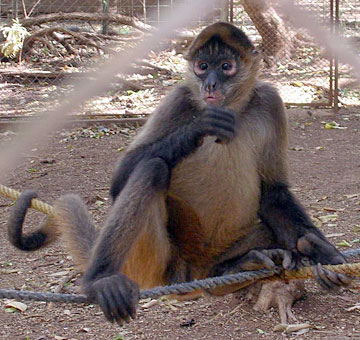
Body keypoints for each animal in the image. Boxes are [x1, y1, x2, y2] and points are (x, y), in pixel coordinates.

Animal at [7, 22, 352, 326]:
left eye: (225, 66)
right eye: (202, 66)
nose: (210, 84)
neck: (234, 109)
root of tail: (195, 271)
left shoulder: (270, 101)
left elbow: (273, 192)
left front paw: (322, 250)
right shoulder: (179, 98)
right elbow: (120, 179)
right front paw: (200, 127)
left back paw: (244, 264)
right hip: (159, 258)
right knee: (153, 167)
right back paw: (100, 281)